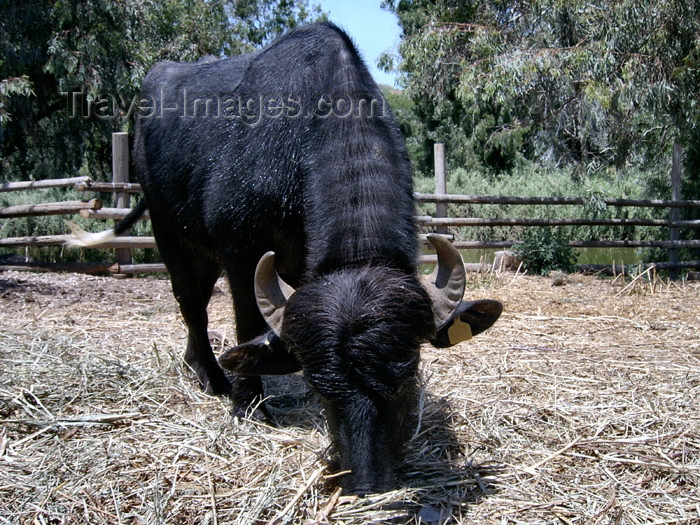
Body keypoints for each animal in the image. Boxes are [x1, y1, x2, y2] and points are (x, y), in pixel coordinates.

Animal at [68, 22, 500, 494]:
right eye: (320, 386)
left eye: (406, 376)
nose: (365, 482)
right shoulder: (242, 250)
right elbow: (248, 323)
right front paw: (249, 405)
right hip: (169, 233)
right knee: (191, 304)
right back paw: (214, 378)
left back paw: (194, 363)